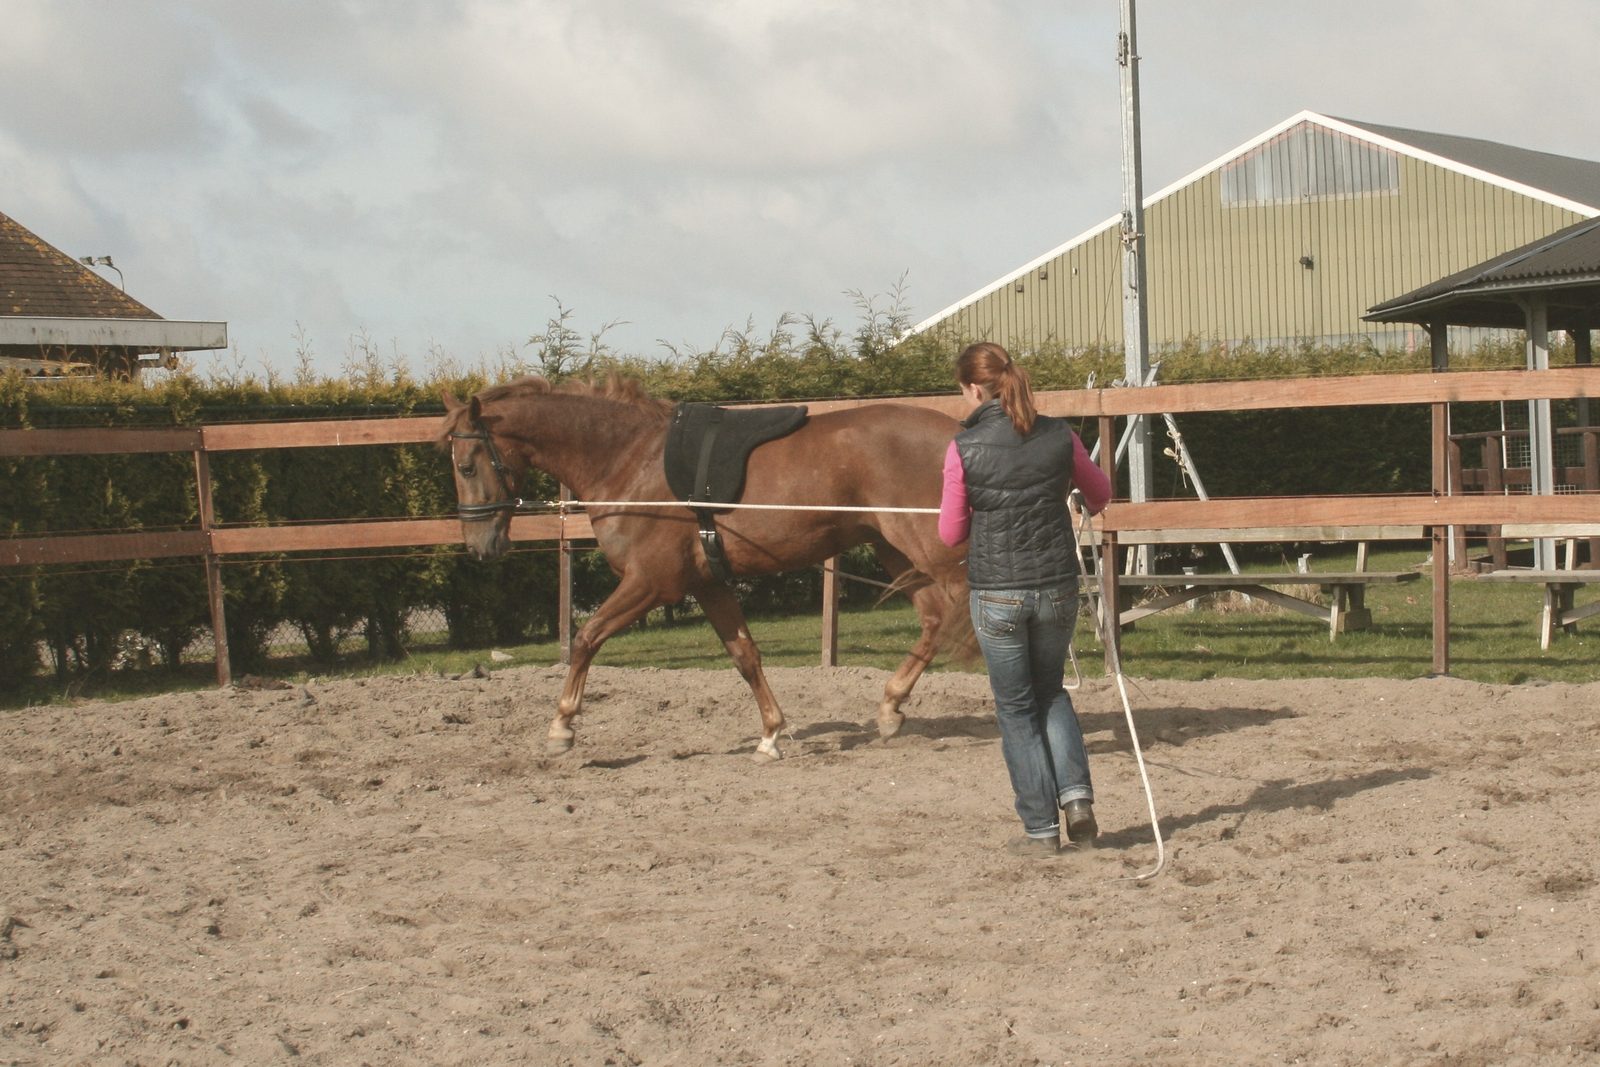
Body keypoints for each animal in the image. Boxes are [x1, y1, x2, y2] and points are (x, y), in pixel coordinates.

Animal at [439, 376, 971, 761]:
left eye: (466, 466)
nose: (481, 546)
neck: (629, 460)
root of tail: (956, 435)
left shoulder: (650, 584)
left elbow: (586, 638)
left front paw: (561, 728)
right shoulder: (709, 584)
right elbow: (745, 656)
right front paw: (770, 736)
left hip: (932, 551)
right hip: (897, 551)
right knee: (934, 619)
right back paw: (890, 707)